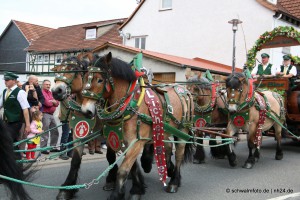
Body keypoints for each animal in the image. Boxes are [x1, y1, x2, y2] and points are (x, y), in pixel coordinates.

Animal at [80, 52, 192, 199]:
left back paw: (174, 182)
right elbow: (131, 167)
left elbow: (123, 170)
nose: (85, 111)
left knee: (179, 154)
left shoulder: (136, 142)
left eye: (99, 80)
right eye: (85, 78)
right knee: (168, 148)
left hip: (182, 131)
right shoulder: (125, 142)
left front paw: (117, 194)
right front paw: (137, 189)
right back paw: (170, 171)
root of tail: (184, 90)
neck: (130, 104)